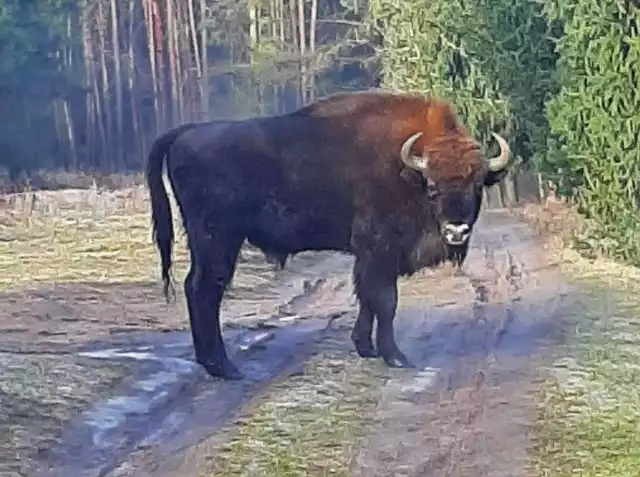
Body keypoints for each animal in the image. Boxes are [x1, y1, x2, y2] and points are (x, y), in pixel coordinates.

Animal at [145, 90, 510, 380]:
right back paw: (225, 367)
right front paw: (395, 357)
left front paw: (366, 348)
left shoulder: (372, 258)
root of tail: (185, 133)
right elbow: (385, 301)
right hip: (218, 241)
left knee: (196, 288)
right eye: (433, 188)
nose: (456, 231)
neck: (406, 171)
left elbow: (367, 299)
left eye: (478, 186)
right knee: (205, 291)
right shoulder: (379, 251)